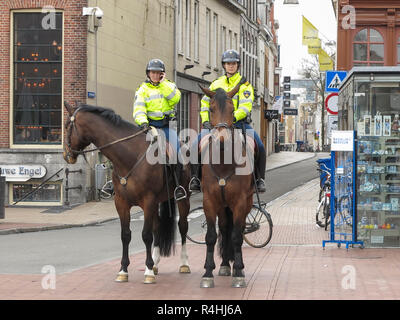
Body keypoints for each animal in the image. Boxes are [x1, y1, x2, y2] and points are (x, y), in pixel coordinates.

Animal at [63, 101, 191, 284]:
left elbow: (146, 235)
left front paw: (148, 271)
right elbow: (126, 235)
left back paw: (183, 263)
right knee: (158, 227)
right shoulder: (122, 203)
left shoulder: (148, 201)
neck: (129, 156)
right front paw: (124, 270)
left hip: (182, 198)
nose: (66, 155)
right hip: (159, 201)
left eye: (67, 125)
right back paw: (156, 263)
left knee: (182, 227)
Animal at [198, 84, 255, 288]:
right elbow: (211, 237)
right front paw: (208, 273)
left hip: (245, 204)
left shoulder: (239, 203)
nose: (221, 141)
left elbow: (237, 236)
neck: (223, 163)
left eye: (232, 110)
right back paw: (223, 265)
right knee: (223, 229)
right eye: (211, 108)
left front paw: (238, 272)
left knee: (237, 231)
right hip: (223, 207)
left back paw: (239, 267)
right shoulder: (209, 202)